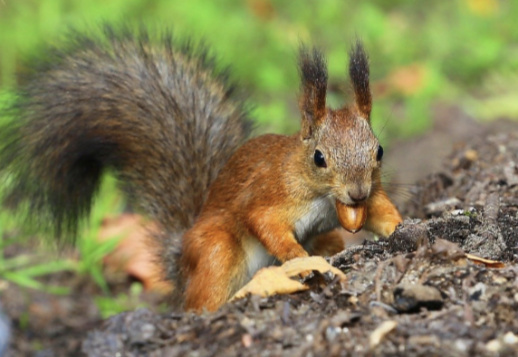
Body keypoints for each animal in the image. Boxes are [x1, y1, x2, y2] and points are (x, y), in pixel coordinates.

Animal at [0, 27, 402, 312]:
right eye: (319, 158)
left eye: (379, 151)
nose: (356, 192)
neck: (323, 198)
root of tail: (180, 260)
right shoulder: (270, 195)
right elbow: (266, 225)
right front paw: (299, 259)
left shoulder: (368, 197)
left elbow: (381, 211)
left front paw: (402, 226)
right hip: (216, 252)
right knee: (201, 298)